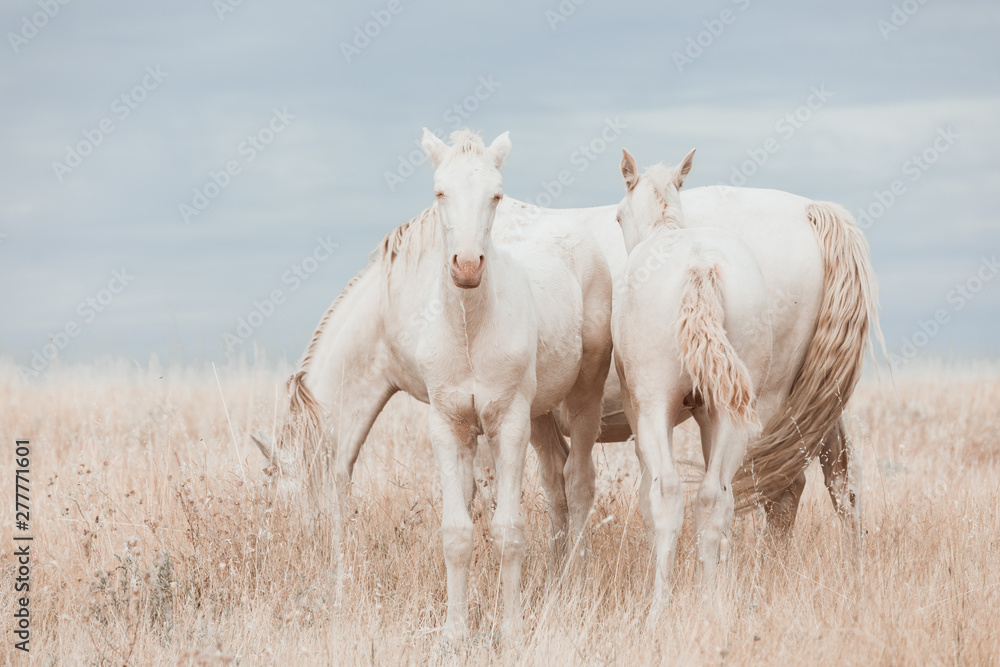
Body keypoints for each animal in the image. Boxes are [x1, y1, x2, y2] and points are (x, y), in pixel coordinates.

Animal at [253, 128, 612, 642]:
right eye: (440, 192)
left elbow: (501, 520)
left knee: (580, 484)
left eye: (281, 503)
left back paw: (576, 590)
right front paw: (460, 626)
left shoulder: (500, 424)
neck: (394, 304)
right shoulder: (453, 420)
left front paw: (507, 623)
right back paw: (554, 587)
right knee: (557, 485)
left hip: (583, 403)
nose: (299, 576)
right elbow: (463, 518)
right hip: (543, 413)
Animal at [611, 149, 773, 609]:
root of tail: (700, 266)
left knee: (667, 493)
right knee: (715, 494)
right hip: (733, 413)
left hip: (654, 407)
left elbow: (649, 496)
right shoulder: (706, 414)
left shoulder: (639, 410)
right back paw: (711, 601)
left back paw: (658, 606)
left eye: (616, 216)